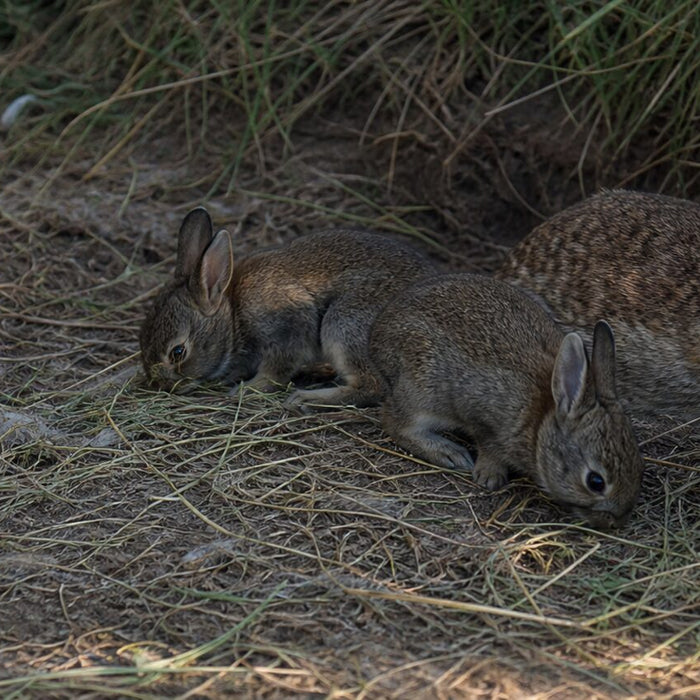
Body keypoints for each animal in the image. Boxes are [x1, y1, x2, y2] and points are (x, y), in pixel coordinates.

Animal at [139, 207, 438, 407]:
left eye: (178, 352)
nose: (161, 385)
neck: (233, 317)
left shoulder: (286, 331)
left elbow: (276, 371)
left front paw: (247, 390)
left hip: (344, 322)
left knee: (372, 386)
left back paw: (305, 398)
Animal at [368, 274, 645, 529]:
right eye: (595, 482)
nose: (619, 521)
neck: (541, 421)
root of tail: (378, 330)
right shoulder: (482, 414)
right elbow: (488, 446)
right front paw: (490, 477)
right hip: (421, 389)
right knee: (395, 422)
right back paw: (450, 453)